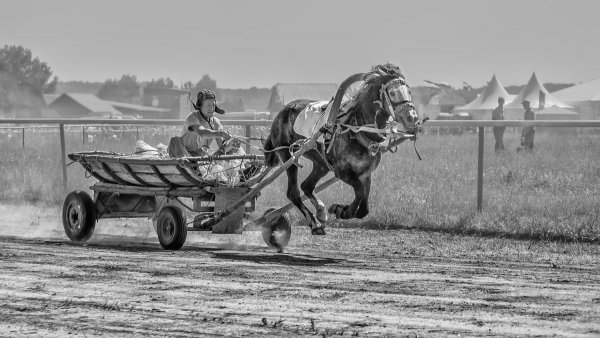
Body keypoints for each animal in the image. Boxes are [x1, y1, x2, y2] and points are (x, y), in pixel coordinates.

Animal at [262, 63, 422, 235]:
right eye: (392, 92)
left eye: (409, 91)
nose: (412, 119)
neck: (356, 130)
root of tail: (281, 113)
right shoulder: (343, 172)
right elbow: (359, 192)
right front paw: (342, 210)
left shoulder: (365, 174)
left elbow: (363, 208)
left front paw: (341, 209)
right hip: (288, 156)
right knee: (294, 192)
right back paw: (315, 223)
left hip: (321, 163)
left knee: (307, 186)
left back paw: (321, 212)